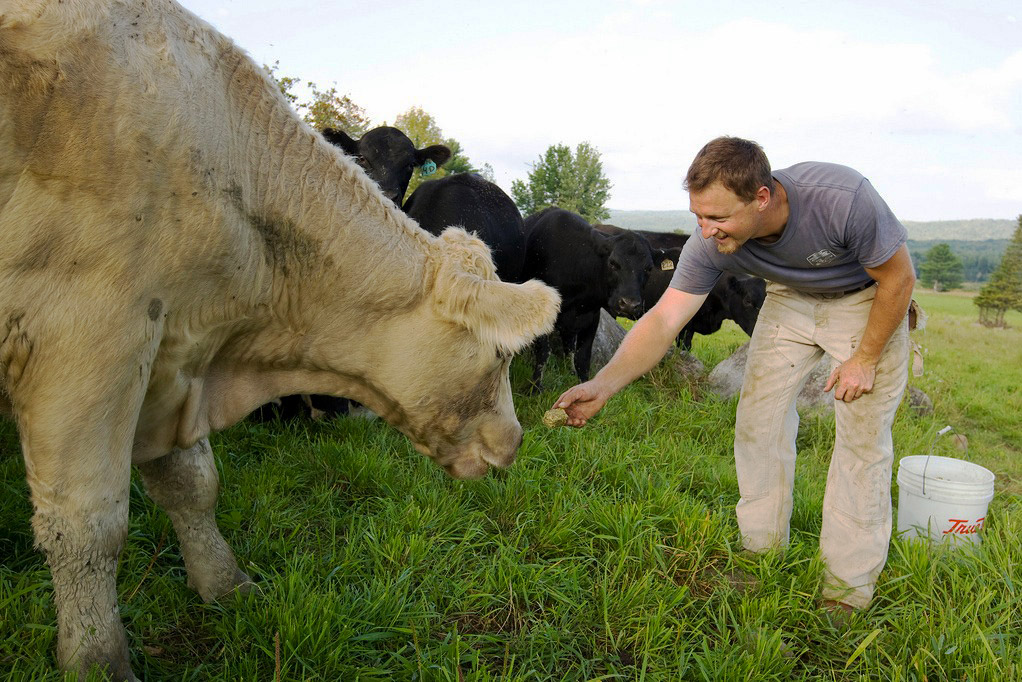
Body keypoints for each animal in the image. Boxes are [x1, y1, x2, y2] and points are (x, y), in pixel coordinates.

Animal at [523, 208, 658, 388]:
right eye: (613, 263)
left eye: (649, 268)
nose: (629, 304)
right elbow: (543, 352)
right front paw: (535, 388)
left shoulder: (591, 317)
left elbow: (583, 358)